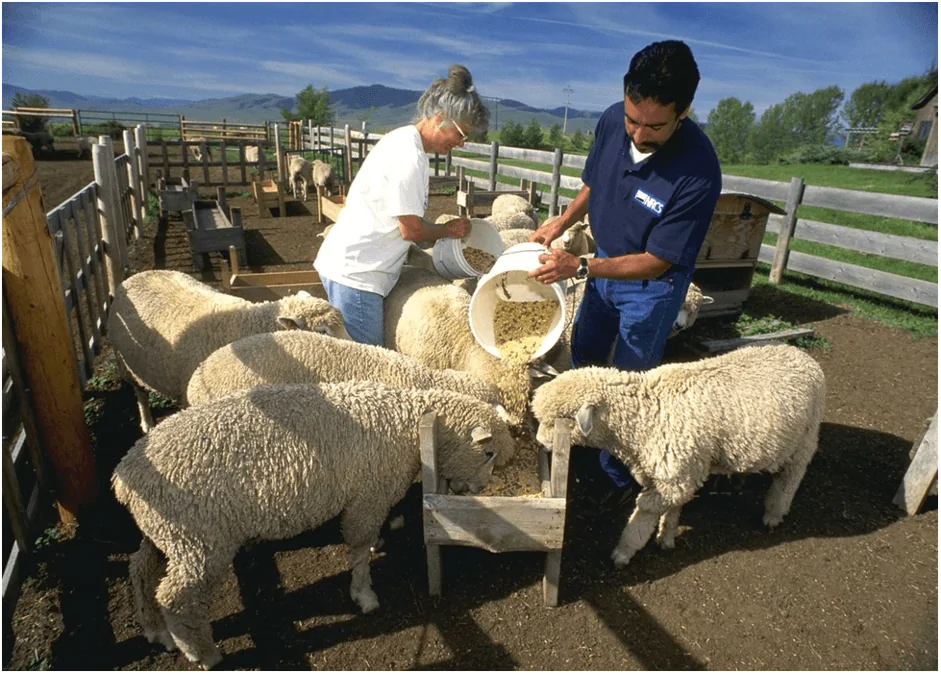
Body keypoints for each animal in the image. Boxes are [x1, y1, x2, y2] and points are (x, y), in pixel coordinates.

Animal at [103, 270, 352, 434]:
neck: (246, 324)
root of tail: (137, 275)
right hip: (124, 362)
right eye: (322, 331)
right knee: (140, 393)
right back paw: (146, 422)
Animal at [115, 380, 516, 672]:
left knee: (140, 569)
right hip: (199, 540)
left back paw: (155, 630)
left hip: (167, 533)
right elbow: (358, 545)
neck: (408, 422)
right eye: (488, 452)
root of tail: (124, 477)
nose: (481, 487)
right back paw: (203, 653)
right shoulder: (368, 495)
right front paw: (364, 594)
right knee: (176, 597)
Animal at [532, 344, 828, 572]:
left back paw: (773, 514)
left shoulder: (674, 478)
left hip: (805, 438)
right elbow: (674, 507)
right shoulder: (677, 472)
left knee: (789, 479)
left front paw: (623, 552)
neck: (645, 414)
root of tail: (805, 357)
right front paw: (666, 536)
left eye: (561, 420)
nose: (539, 442)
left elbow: (642, 518)